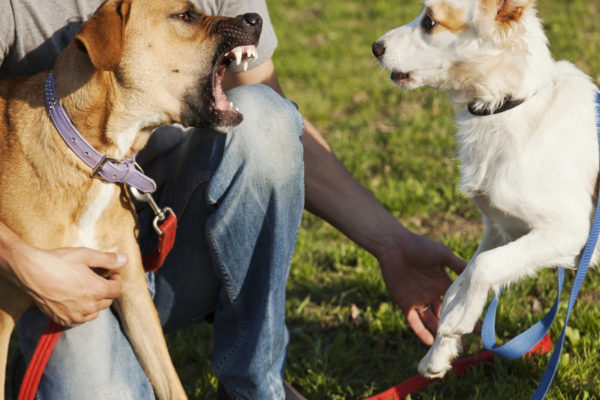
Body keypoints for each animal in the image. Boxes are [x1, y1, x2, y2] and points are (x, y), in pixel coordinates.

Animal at [372, 0, 596, 378]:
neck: (507, 106)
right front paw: (440, 351)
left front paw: (459, 320)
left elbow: (484, 267)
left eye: (429, 22)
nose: (375, 48)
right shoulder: (500, 227)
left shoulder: (569, 231)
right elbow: (459, 280)